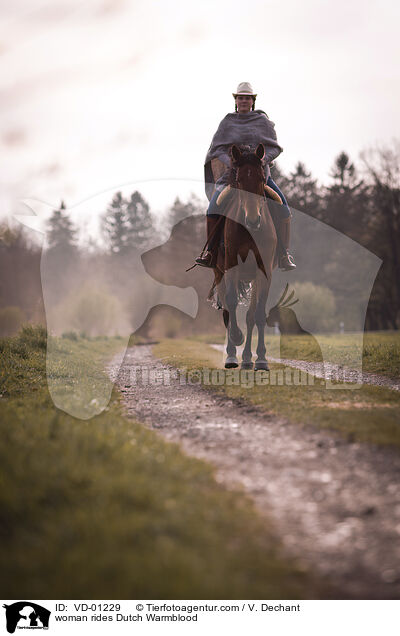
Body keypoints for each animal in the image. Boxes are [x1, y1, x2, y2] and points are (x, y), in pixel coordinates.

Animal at [209, 142, 278, 370]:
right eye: (238, 181)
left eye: (261, 179)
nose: (253, 219)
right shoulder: (231, 268)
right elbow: (231, 305)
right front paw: (234, 346)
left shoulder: (264, 272)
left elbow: (257, 314)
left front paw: (262, 359)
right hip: (219, 273)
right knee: (226, 311)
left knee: (249, 316)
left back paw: (248, 359)